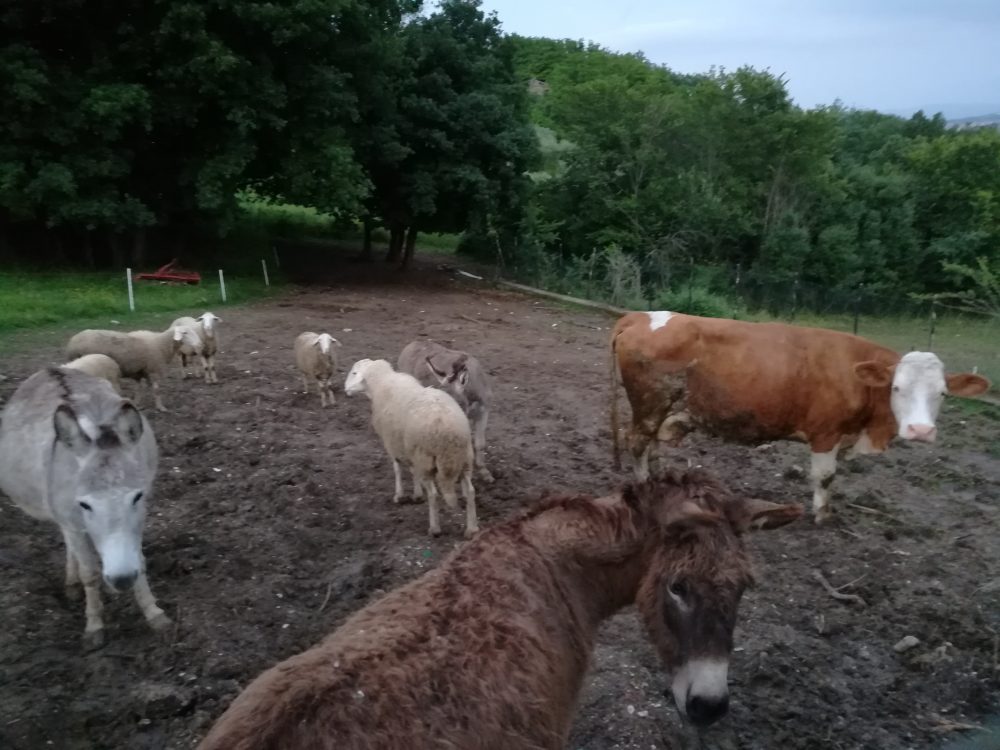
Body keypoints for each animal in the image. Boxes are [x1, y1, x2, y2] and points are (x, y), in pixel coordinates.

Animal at [65, 326, 202, 414]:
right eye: (185, 333)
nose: (199, 344)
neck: (161, 344)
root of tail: (72, 342)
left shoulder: (139, 372)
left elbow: (139, 389)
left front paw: (137, 404)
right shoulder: (153, 369)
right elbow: (156, 390)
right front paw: (161, 407)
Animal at [346, 360, 478, 540]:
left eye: (354, 373)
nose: (345, 389)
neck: (381, 380)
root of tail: (448, 430)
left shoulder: (392, 443)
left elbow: (398, 469)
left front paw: (400, 495)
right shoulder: (408, 447)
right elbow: (412, 469)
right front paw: (417, 493)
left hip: (426, 459)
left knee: (433, 494)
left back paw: (434, 528)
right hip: (464, 458)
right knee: (470, 491)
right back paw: (472, 529)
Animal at [608, 312, 992, 524]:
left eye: (942, 393)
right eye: (896, 387)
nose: (920, 429)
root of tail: (638, 316)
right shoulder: (826, 433)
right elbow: (825, 476)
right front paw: (822, 515)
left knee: (650, 444)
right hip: (649, 403)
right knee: (637, 441)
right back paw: (645, 487)